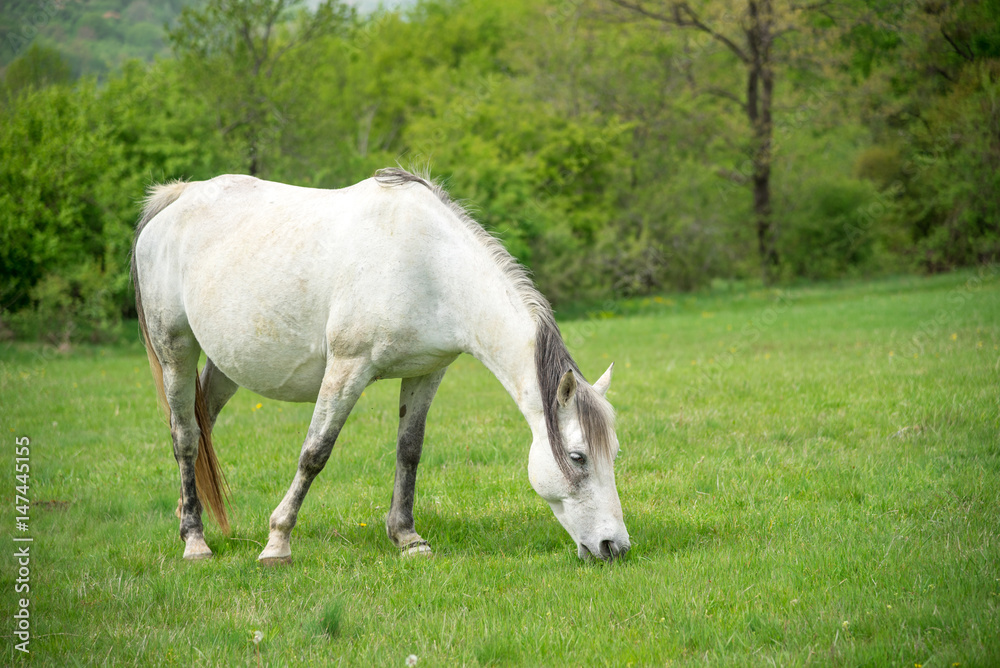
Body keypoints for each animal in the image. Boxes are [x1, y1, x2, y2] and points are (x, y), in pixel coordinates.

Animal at [129, 168, 628, 564]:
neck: (428, 263)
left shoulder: (426, 372)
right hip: (176, 349)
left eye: (614, 453)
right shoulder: (348, 368)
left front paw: (407, 538)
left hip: (223, 366)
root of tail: (178, 197)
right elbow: (315, 453)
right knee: (185, 437)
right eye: (578, 457)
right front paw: (277, 542)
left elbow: (409, 451)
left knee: (203, 427)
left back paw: (186, 515)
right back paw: (195, 542)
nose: (615, 547)